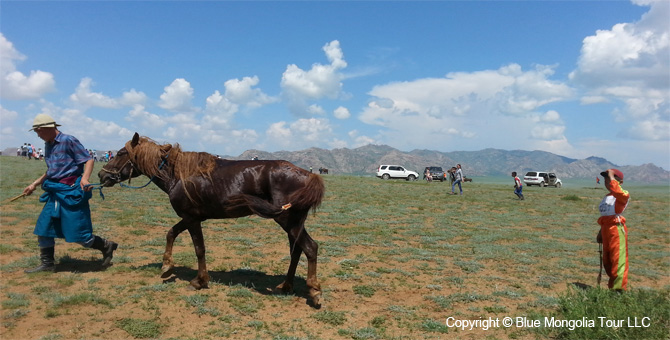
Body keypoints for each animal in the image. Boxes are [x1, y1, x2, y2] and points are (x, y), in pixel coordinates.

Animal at [98, 132, 326, 306]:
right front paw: (166, 266)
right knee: (296, 251)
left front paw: (199, 281)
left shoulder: (191, 218)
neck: (179, 175)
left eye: (121, 153)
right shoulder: (191, 217)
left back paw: (314, 291)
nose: (102, 175)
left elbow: (199, 249)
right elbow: (171, 233)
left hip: (289, 222)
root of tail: (309, 175)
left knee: (310, 247)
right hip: (293, 223)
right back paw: (286, 286)